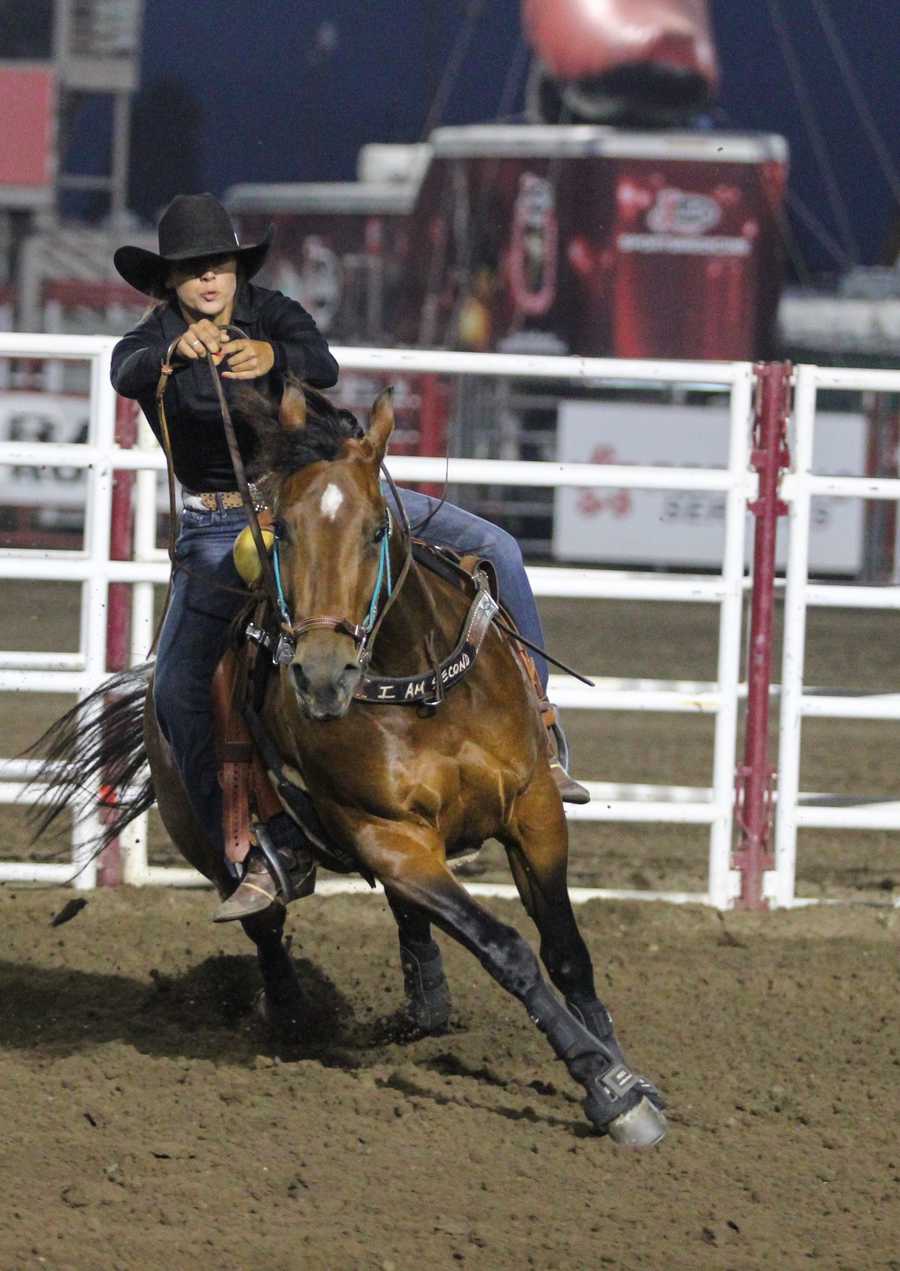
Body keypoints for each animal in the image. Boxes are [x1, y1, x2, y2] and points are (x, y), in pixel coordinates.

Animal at [28, 381, 666, 1148]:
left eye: (374, 529)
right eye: (283, 531)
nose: (322, 675)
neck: (420, 688)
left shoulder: (533, 808)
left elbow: (565, 947)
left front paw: (624, 1072)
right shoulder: (384, 835)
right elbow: (505, 946)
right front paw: (605, 1086)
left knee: (410, 922)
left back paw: (424, 1003)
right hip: (215, 840)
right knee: (268, 929)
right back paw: (298, 1019)